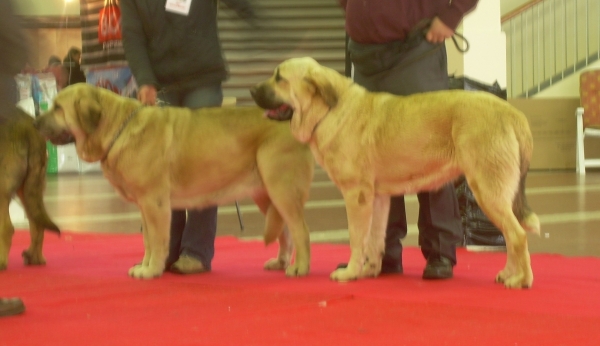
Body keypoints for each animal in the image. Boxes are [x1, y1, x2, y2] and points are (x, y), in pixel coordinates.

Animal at [34, 83, 314, 278]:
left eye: (58, 108)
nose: (35, 121)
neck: (117, 127)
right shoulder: (144, 206)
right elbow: (148, 240)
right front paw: (144, 265)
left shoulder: (154, 203)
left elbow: (158, 240)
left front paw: (150, 270)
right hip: (266, 195)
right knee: (286, 231)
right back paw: (280, 262)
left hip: (282, 189)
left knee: (301, 230)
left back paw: (299, 268)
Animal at [251, 57, 540, 290]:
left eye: (279, 78)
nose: (252, 89)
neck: (329, 110)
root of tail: (513, 113)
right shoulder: (378, 198)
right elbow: (374, 239)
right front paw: (369, 270)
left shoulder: (357, 196)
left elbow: (357, 238)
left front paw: (350, 272)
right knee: (511, 236)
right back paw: (507, 274)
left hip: (487, 190)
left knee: (518, 235)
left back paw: (521, 280)